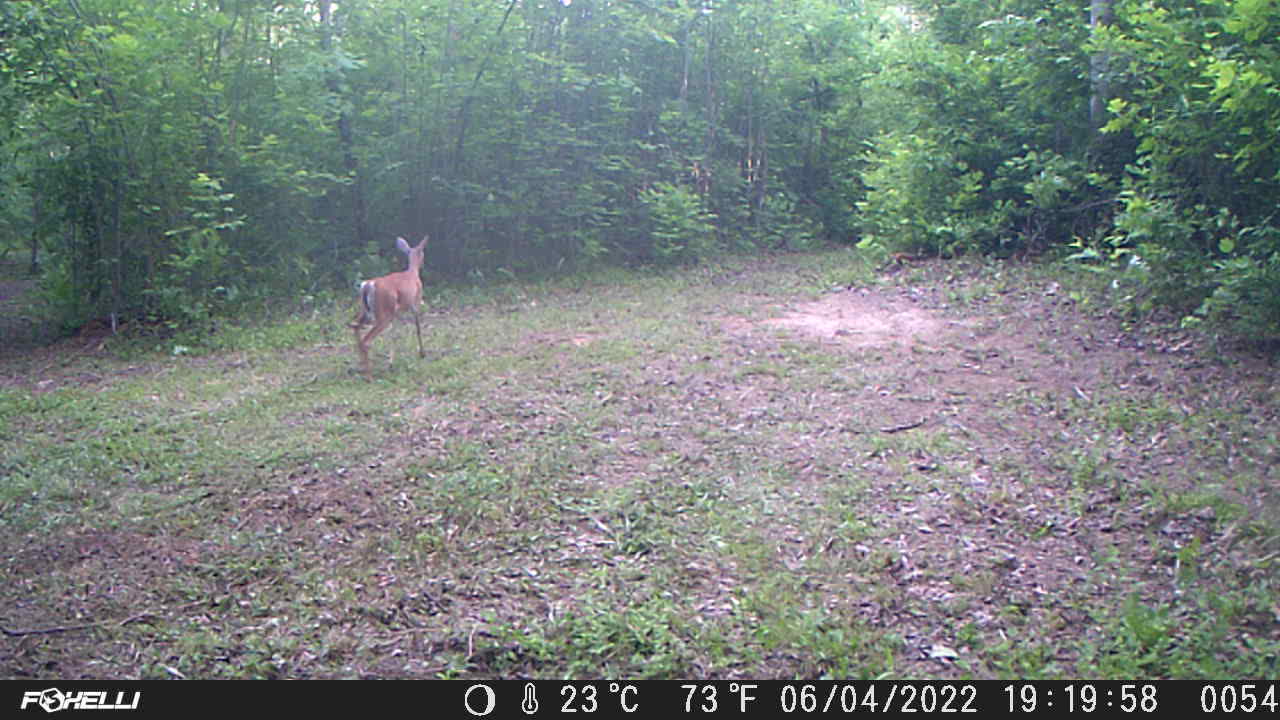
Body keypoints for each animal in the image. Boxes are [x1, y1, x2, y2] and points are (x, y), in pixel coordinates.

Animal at [350, 234, 428, 378]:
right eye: (423, 253)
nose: (423, 264)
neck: (412, 273)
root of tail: (368, 285)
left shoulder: (396, 312)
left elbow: (394, 334)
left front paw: (391, 362)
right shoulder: (415, 302)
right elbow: (418, 328)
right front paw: (422, 353)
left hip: (367, 311)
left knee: (356, 328)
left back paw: (361, 367)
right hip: (383, 313)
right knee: (366, 340)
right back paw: (369, 376)